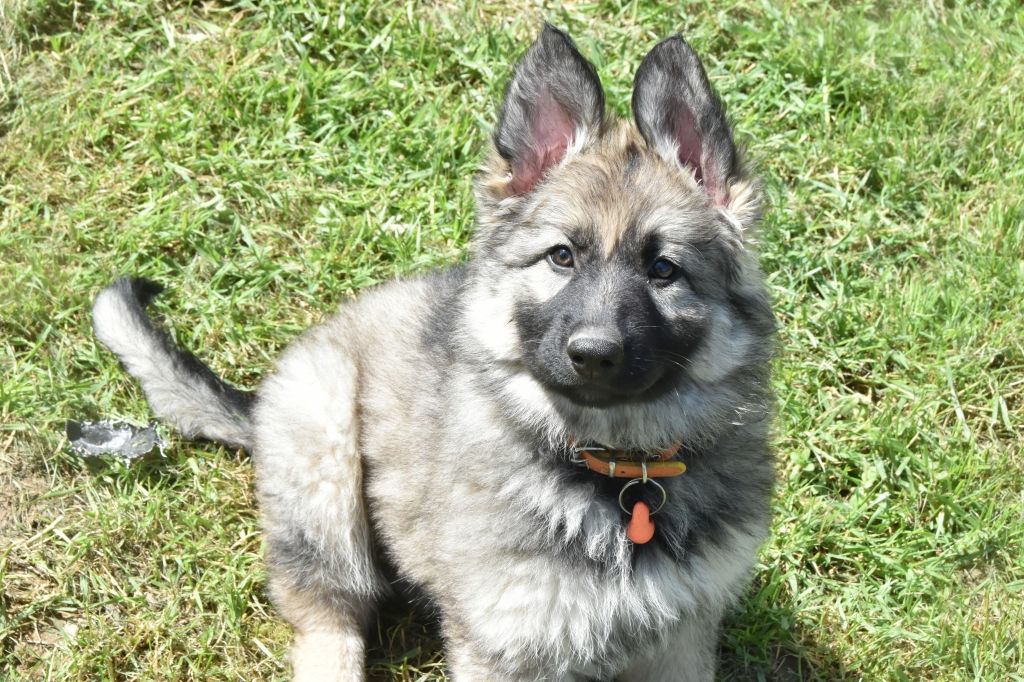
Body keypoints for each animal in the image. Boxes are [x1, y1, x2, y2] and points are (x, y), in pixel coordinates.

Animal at [92, 24, 775, 681]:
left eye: (663, 270)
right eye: (561, 256)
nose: (593, 354)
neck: (611, 471)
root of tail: (260, 404)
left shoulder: (681, 638)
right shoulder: (504, 643)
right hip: (325, 462)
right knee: (328, 623)